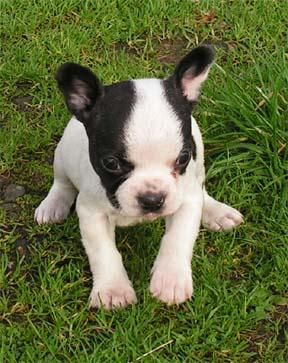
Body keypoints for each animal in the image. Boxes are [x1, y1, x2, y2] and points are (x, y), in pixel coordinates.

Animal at [34, 46, 243, 310]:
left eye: (183, 158)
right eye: (111, 163)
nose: (152, 199)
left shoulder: (185, 198)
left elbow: (177, 238)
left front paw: (170, 281)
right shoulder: (92, 212)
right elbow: (103, 252)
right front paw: (113, 290)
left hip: (200, 160)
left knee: (201, 189)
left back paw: (217, 212)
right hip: (62, 154)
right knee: (62, 183)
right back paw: (53, 205)